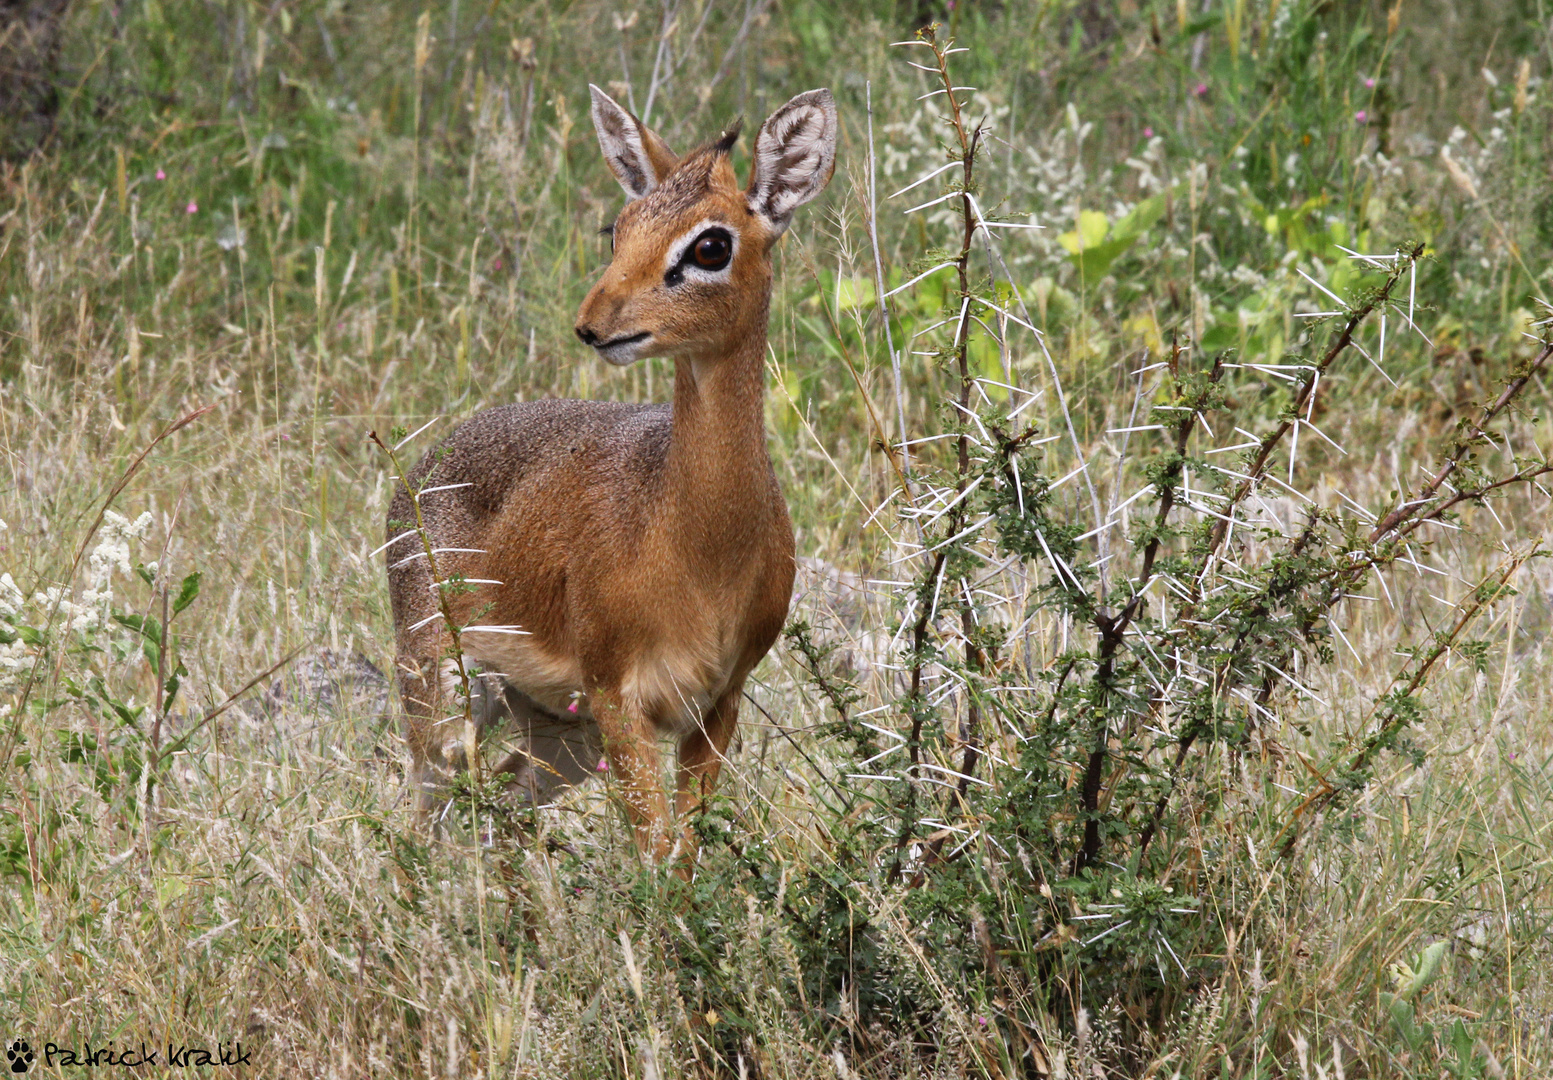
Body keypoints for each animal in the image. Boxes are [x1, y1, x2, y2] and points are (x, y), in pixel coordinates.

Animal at [386, 82, 838, 864]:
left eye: (711, 244)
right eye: (617, 228)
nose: (593, 324)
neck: (700, 547)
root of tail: (419, 472)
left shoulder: (715, 706)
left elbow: (684, 862)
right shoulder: (617, 696)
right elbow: (656, 858)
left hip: (558, 731)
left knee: (499, 812)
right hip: (445, 696)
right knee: (421, 824)